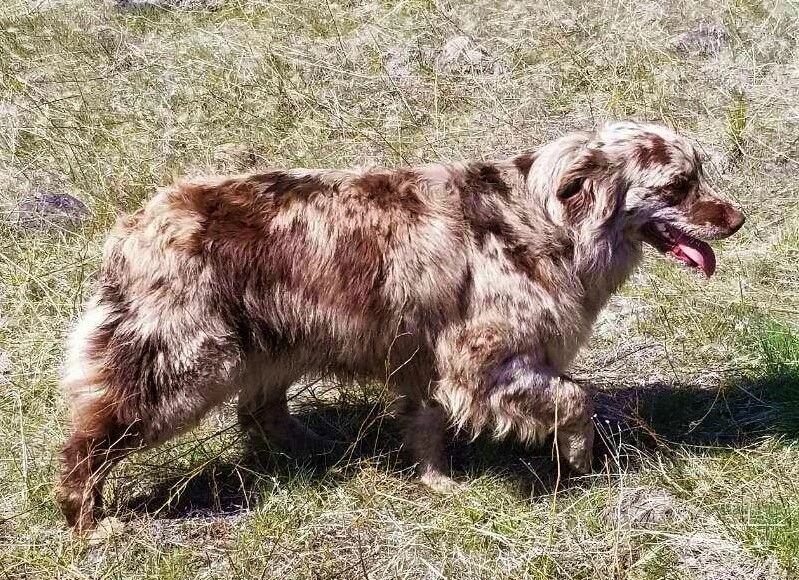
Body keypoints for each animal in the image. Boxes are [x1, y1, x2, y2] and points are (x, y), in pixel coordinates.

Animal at [56, 122, 744, 532]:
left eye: (699, 175)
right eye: (678, 185)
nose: (737, 219)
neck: (550, 225)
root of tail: (134, 226)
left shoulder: (431, 362)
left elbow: (428, 423)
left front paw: (438, 482)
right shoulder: (483, 361)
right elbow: (578, 397)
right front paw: (577, 459)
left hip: (271, 345)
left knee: (258, 411)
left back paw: (314, 451)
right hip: (187, 362)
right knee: (89, 439)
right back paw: (89, 519)